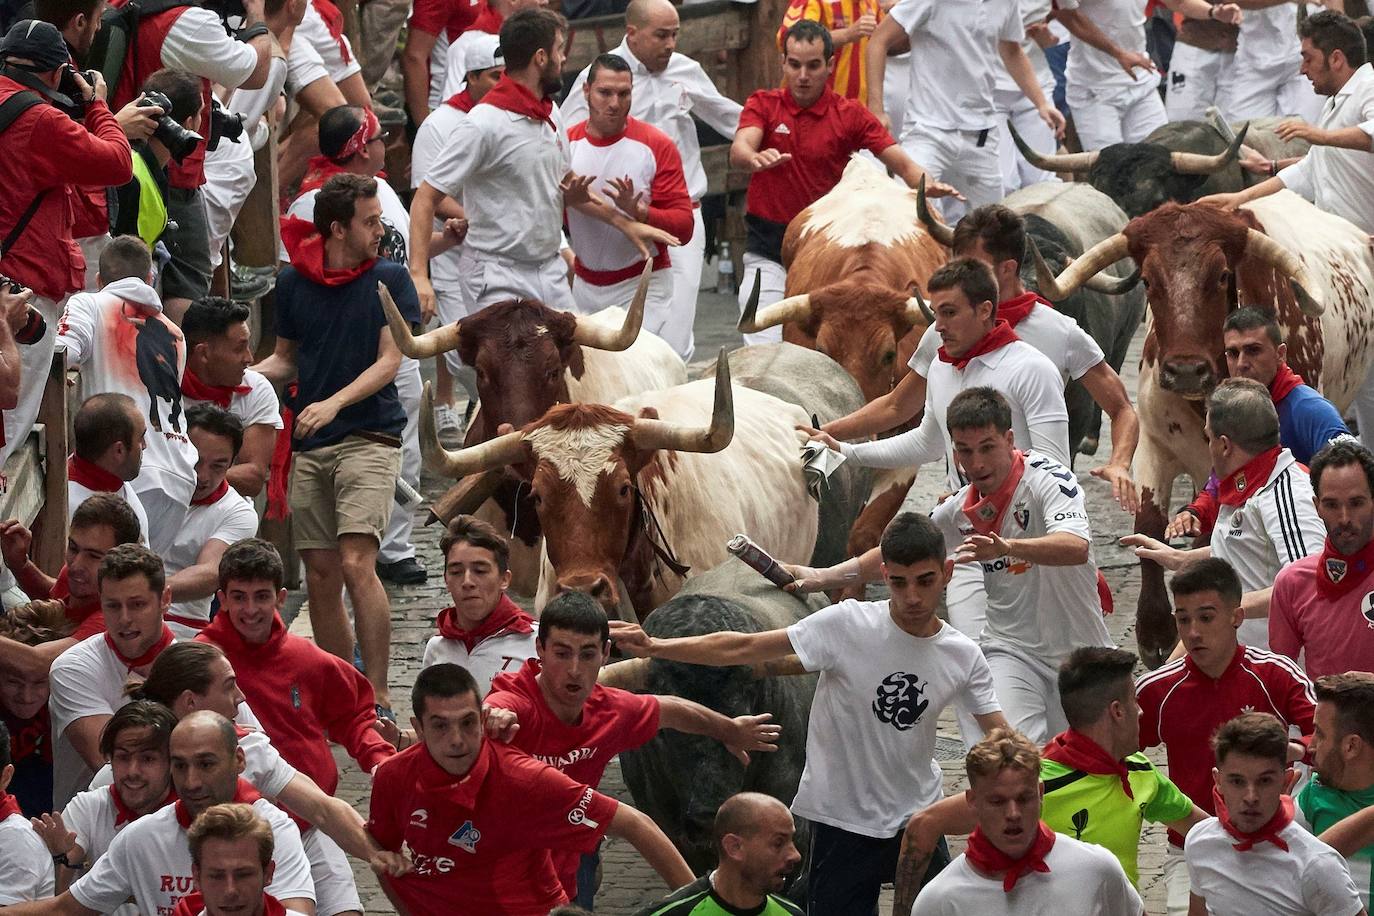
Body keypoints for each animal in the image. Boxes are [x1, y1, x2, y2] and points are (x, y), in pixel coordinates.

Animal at [1033, 192, 1374, 667]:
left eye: (1222, 275)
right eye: (1149, 280)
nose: (1185, 370)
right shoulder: (1155, 445)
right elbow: (1150, 522)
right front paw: (1155, 629)